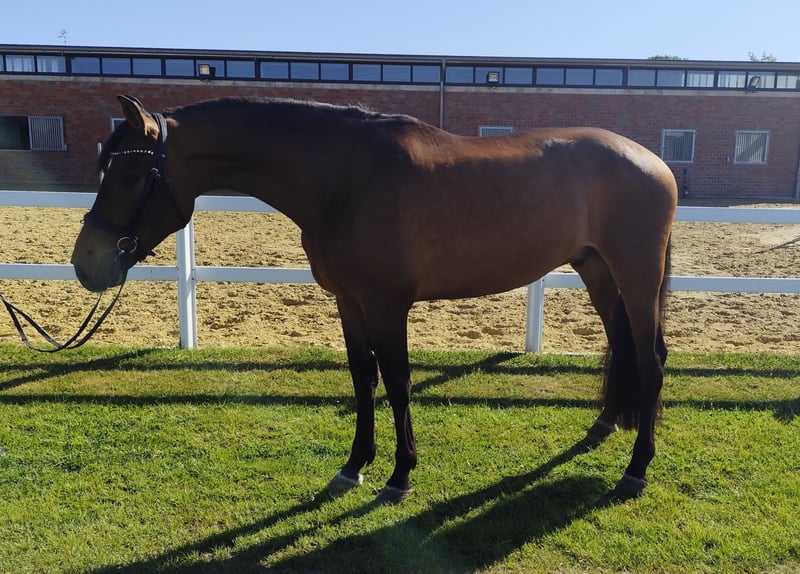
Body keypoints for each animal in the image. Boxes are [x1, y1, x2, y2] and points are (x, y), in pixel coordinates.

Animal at [72, 95, 677, 503]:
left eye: (130, 174)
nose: (86, 262)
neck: (345, 179)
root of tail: (654, 162)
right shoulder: (350, 302)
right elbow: (364, 379)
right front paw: (354, 465)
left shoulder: (388, 306)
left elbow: (398, 381)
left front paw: (400, 475)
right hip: (596, 269)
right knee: (621, 343)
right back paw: (603, 426)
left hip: (636, 274)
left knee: (651, 359)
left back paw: (636, 470)